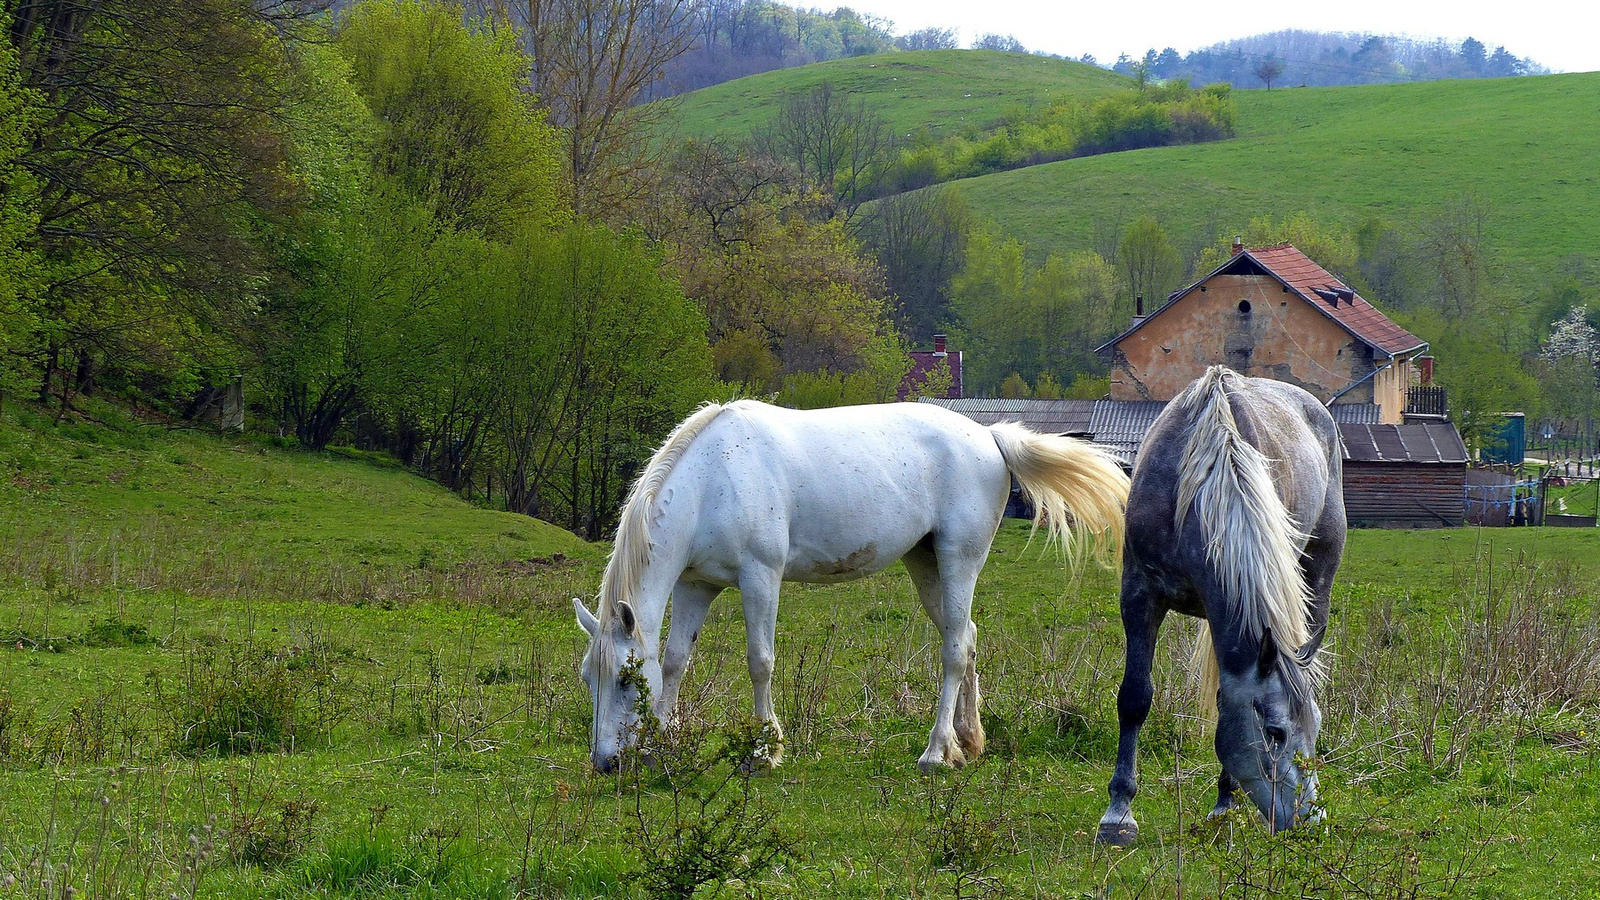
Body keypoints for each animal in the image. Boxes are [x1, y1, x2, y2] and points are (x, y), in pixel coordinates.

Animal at [576, 398, 1126, 771]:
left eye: (623, 680)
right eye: (589, 679)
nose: (605, 762)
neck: (714, 480)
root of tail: (988, 436)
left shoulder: (760, 577)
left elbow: (760, 662)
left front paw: (764, 749)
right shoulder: (696, 586)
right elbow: (674, 662)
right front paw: (661, 743)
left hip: (958, 561)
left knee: (953, 649)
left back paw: (934, 752)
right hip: (927, 565)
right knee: (966, 636)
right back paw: (965, 743)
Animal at [1094, 366, 1344, 839]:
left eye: (1316, 728)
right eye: (1275, 732)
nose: (1311, 822)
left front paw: (1225, 804)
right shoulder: (1139, 594)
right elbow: (1134, 697)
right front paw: (1118, 813)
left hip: (1318, 575)